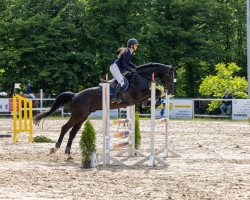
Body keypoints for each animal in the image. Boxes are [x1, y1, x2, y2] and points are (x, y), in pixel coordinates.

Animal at [33, 62, 176, 158]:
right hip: (77, 115)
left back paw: (68, 152)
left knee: (73, 132)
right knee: (65, 128)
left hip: (83, 116)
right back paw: (56, 147)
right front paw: (154, 102)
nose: (170, 90)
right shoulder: (137, 96)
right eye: (170, 76)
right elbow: (156, 91)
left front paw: (151, 102)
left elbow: (155, 92)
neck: (142, 76)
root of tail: (75, 95)